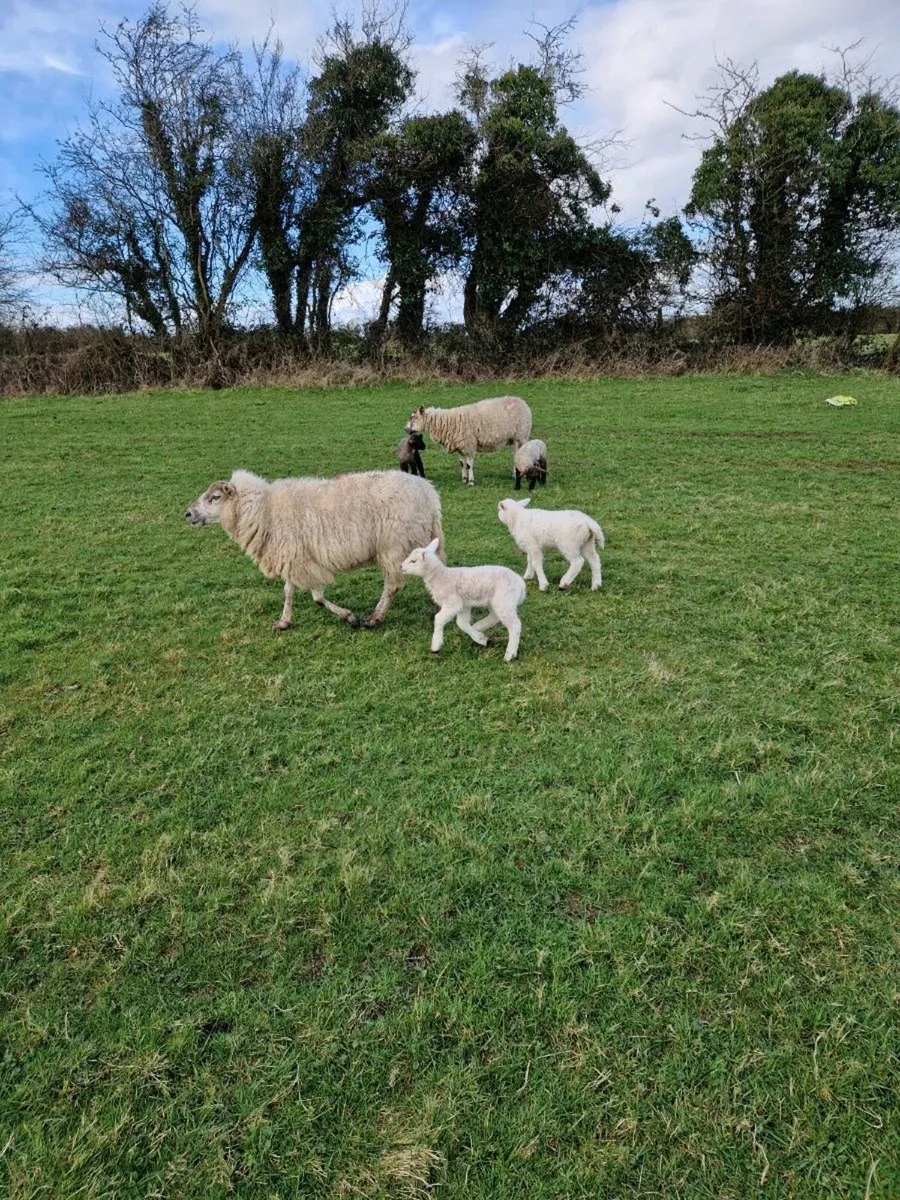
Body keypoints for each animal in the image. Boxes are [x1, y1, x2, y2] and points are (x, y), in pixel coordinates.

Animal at [185, 469, 444, 631]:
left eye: (215, 497)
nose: (187, 514)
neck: (265, 510)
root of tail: (430, 494)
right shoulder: (292, 555)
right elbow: (288, 592)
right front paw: (284, 622)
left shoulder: (303, 559)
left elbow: (317, 597)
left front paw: (350, 617)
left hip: (393, 546)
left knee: (391, 586)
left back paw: (374, 618)